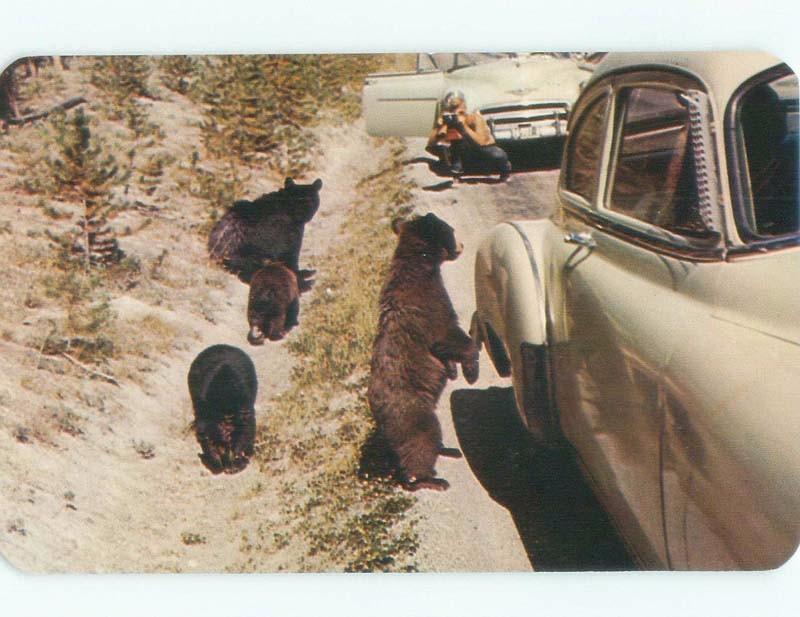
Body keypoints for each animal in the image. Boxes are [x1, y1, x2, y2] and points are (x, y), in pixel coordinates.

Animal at [366, 212, 478, 490]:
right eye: (449, 229)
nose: (459, 244)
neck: (421, 263)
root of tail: (376, 414)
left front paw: (452, 370)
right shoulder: (430, 305)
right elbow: (448, 336)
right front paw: (471, 370)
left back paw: (448, 451)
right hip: (413, 414)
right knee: (421, 444)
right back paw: (431, 479)